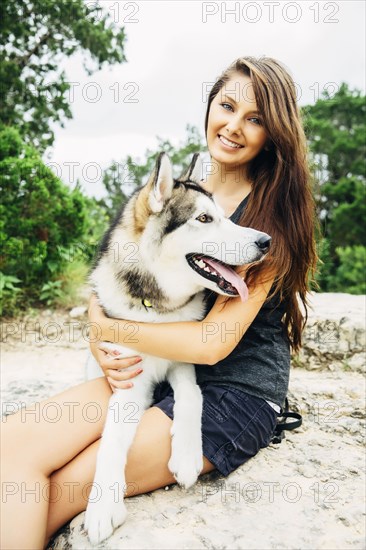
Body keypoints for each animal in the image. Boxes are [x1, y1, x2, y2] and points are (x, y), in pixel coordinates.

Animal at [83, 153, 272, 544]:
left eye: (224, 215)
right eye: (204, 219)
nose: (266, 241)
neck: (156, 311)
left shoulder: (184, 366)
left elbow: (192, 398)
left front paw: (186, 456)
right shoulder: (128, 379)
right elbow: (110, 441)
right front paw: (103, 506)